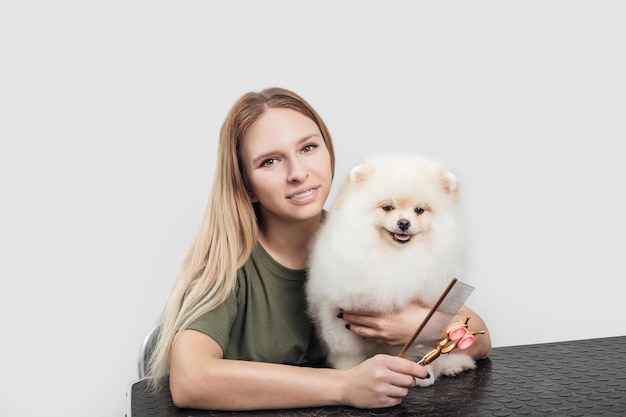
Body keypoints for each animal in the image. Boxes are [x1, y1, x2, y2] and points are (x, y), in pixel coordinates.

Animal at [306, 151, 472, 386]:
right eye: (387, 207)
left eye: (419, 210)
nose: (403, 222)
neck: (395, 255)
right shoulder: (336, 314)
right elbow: (348, 351)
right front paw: (352, 372)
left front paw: (421, 373)